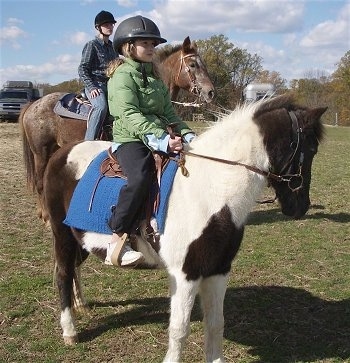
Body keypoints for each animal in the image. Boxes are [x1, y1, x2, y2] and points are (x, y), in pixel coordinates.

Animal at [20, 37, 215, 225]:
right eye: (193, 65)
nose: (211, 92)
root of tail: (34, 104)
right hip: (40, 152)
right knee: (39, 182)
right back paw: (45, 215)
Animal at [43, 95, 326, 362]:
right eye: (310, 148)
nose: (301, 206)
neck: (210, 190)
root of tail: (62, 153)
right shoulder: (185, 274)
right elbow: (179, 329)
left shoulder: (218, 270)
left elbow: (216, 324)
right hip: (62, 234)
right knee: (63, 274)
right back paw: (70, 330)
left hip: (79, 239)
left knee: (72, 269)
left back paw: (81, 305)